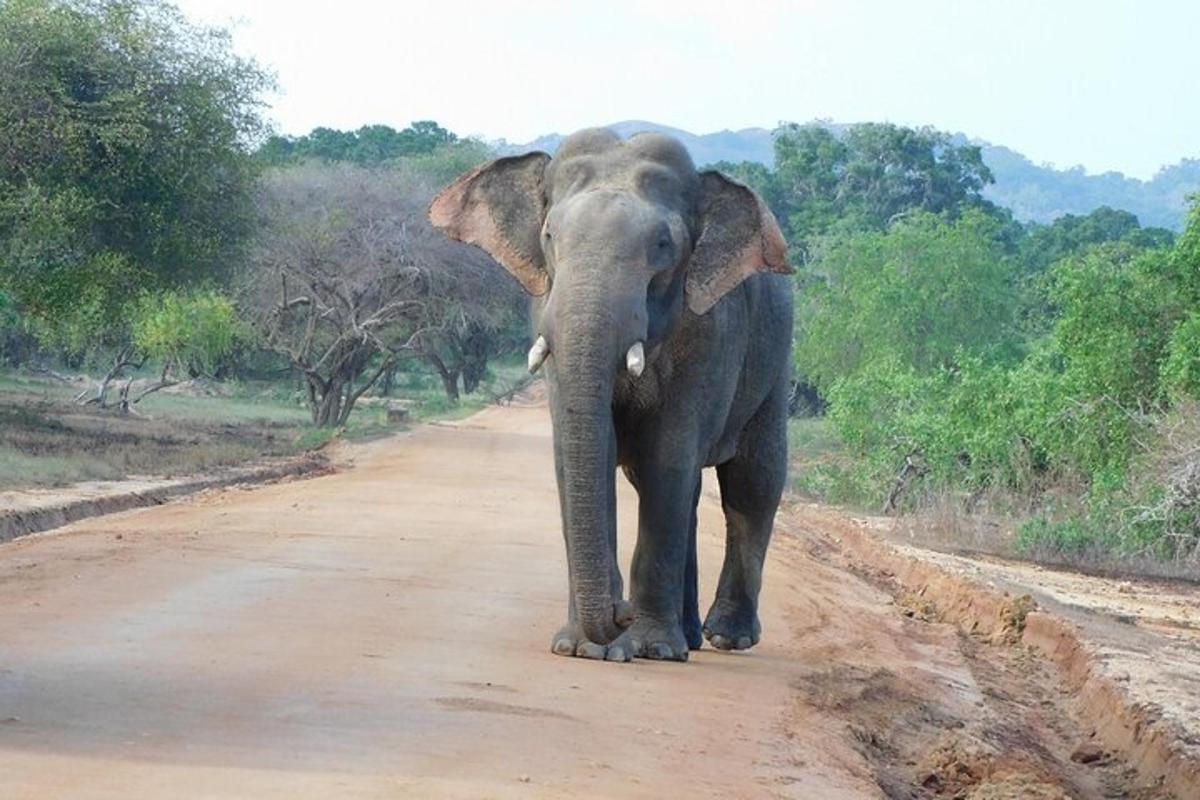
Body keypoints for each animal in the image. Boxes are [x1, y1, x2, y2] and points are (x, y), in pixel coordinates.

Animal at [427, 126, 792, 662]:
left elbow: (667, 457)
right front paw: (582, 648)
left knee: (752, 483)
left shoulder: (710, 333)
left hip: (776, 357)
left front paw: (649, 648)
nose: (620, 610)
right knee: (687, 490)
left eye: (663, 244)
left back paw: (727, 637)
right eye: (549, 236)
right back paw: (690, 637)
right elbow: (585, 455)